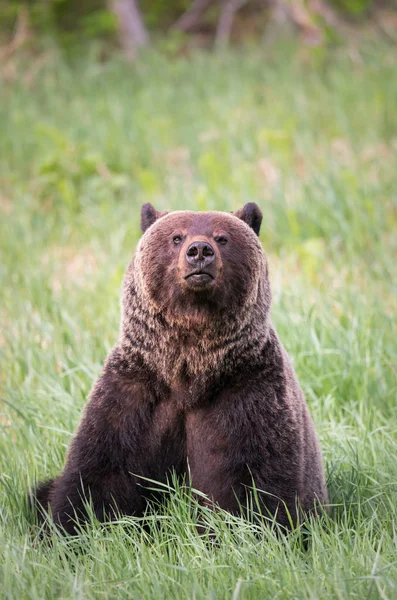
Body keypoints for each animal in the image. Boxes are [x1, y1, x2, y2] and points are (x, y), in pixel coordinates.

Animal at [32, 204, 326, 532]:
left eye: (222, 238)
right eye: (176, 237)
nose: (199, 251)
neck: (189, 371)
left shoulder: (248, 391)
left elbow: (257, 480)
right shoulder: (135, 392)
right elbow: (100, 471)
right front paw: (72, 528)